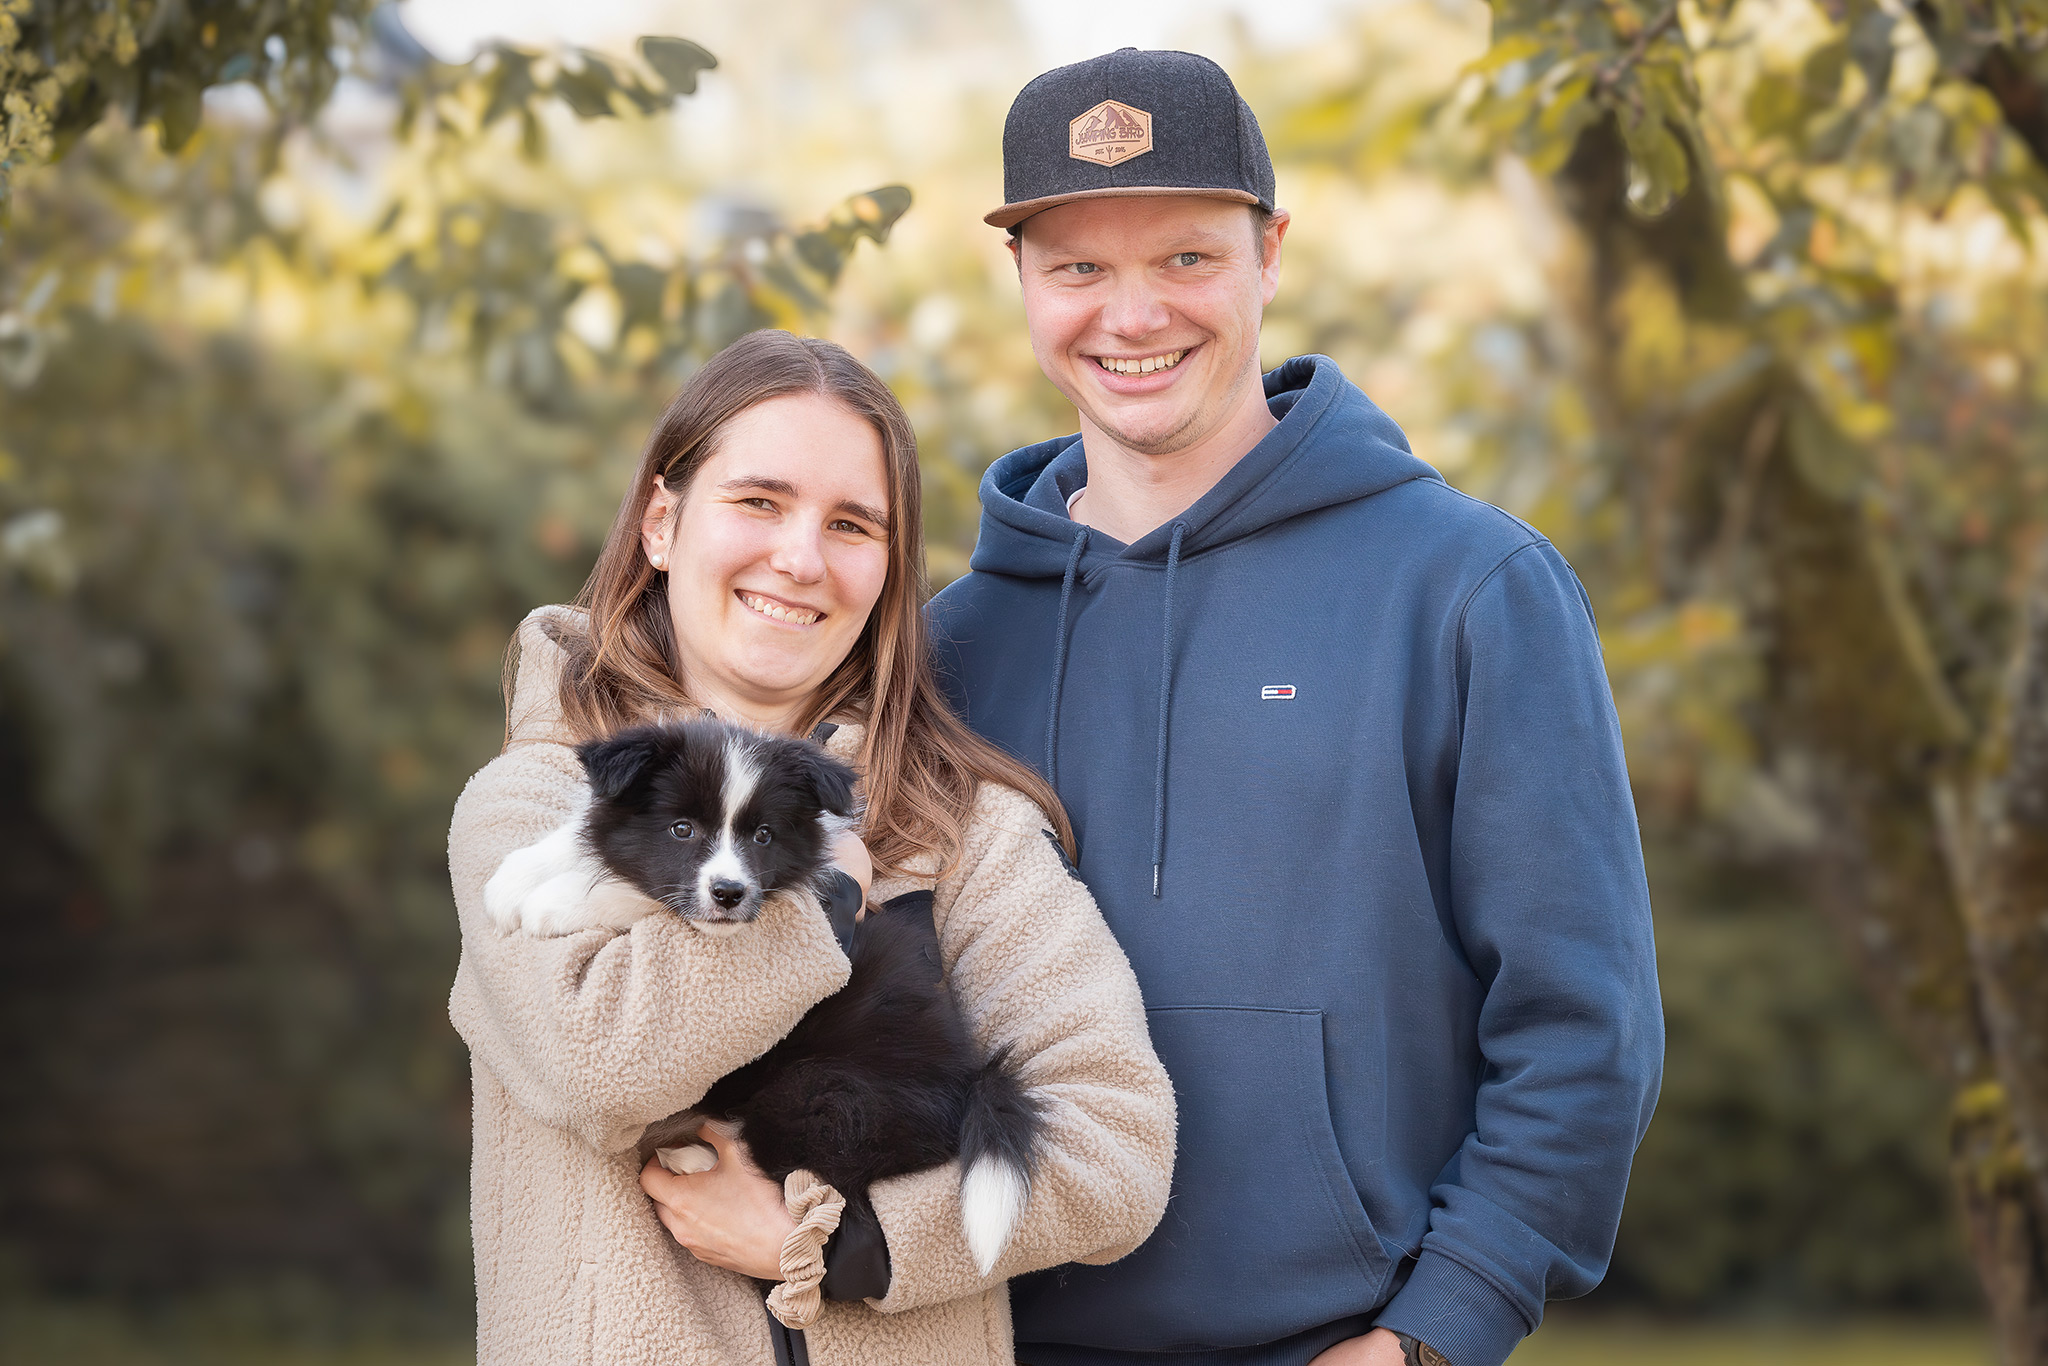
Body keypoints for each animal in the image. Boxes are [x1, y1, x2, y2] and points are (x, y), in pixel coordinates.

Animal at [479, 720, 1040, 1277]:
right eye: (681, 829)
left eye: (763, 836)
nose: (729, 893)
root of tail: (967, 1083)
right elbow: (594, 843)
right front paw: (515, 878)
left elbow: (642, 896)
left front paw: (553, 903)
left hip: (815, 1094)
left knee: (822, 1176)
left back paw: (691, 1157)